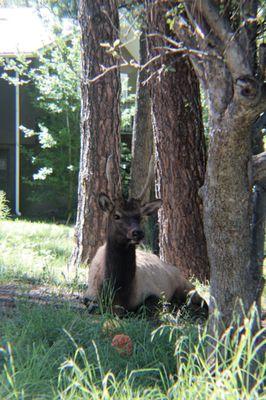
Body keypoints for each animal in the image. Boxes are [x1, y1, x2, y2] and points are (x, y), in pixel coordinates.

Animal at [84, 156, 209, 316]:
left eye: (140, 216)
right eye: (116, 215)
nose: (138, 232)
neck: (118, 297)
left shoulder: (153, 292)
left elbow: (150, 305)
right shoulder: (89, 295)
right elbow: (91, 305)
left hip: (185, 283)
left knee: (201, 300)